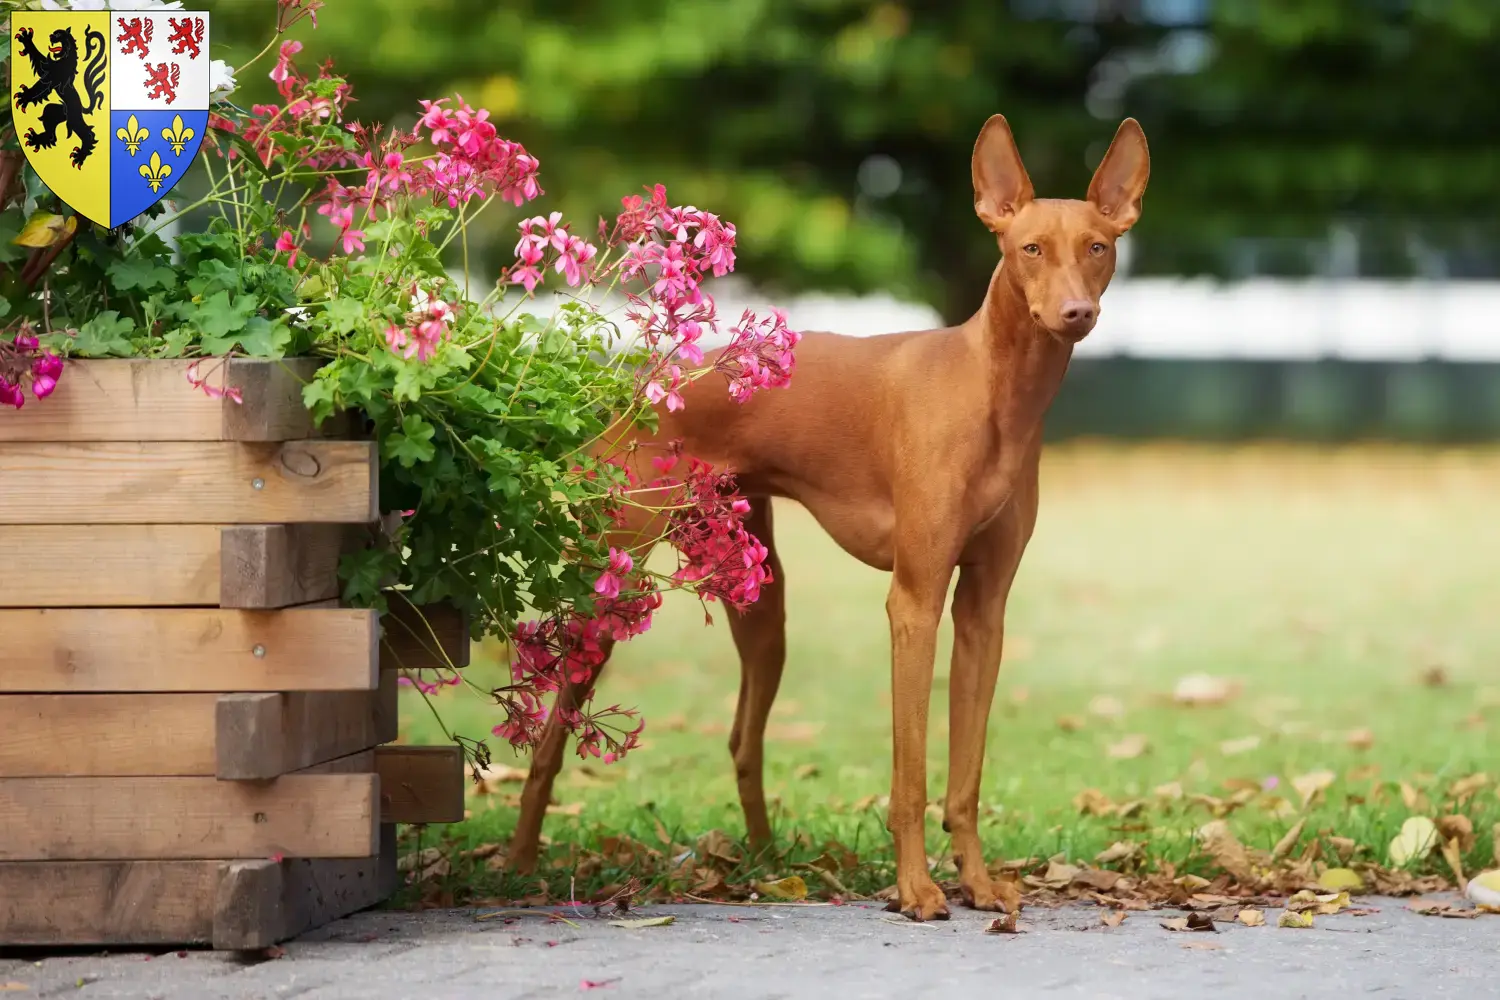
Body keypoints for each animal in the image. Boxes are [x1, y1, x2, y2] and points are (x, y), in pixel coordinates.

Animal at [504, 115, 1146, 923]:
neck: (996, 391)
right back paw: (523, 863)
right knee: (550, 737)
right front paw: (917, 890)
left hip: (761, 602)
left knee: (743, 741)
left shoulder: (982, 611)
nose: (1075, 314)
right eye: (1029, 248)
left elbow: (964, 779)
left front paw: (976, 883)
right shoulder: (914, 603)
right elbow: (911, 773)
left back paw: (766, 863)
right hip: (611, 594)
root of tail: (639, 388)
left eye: (1098, 246)